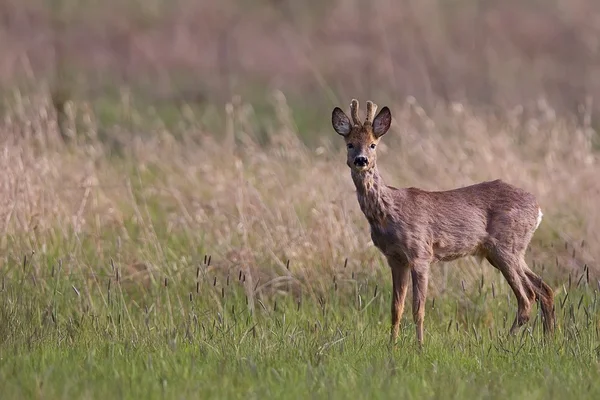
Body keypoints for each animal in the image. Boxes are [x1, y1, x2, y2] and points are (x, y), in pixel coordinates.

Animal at [330, 98, 556, 346]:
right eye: (350, 144)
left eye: (373, 145)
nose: (361, 160)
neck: (388, 212)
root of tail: (538, 209)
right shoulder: (396, 258)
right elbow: (396, 308)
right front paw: (392, 346)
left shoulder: (420, 253)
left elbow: (418, 309)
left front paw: (419, 346)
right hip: (503, 251)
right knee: (544, 290)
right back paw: (549, 340)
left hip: (506, 247)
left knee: (527, 298)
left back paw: (505, 342)